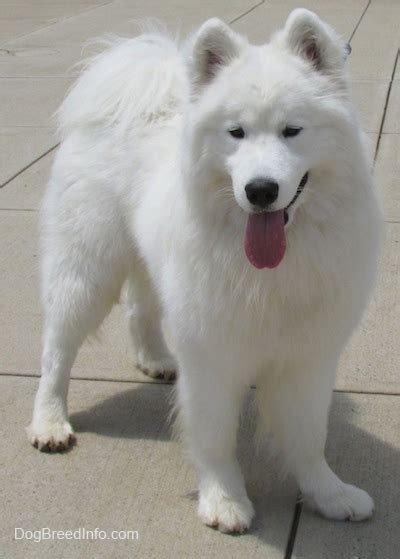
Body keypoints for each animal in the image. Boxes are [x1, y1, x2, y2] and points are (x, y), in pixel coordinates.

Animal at [26, 8, 382, 532]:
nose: (260, 190)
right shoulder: (212, 355)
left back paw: (155, 358)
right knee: (56, 353)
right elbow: (215, 438)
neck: (271, 268)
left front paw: (329, 494)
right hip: (86, 273)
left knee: (139, 308)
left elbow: (309, 438)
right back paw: (50, 422)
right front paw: (225, 500)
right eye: (236, 133)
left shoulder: (309, 355)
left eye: (292, 130)